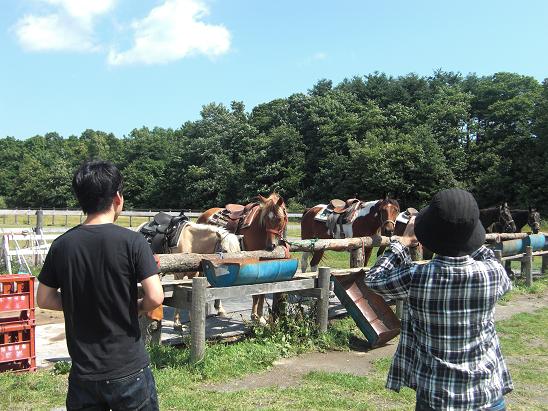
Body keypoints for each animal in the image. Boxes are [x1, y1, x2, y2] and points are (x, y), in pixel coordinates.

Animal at [198, 193, 292, 326]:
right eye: (265, 219)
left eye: (279, 218)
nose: (271, 246)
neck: (258, 230)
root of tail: (204, 214)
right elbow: (255, 292)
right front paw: (256, 316)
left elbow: (262, 291)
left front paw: (259, 316)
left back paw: (219, 308)